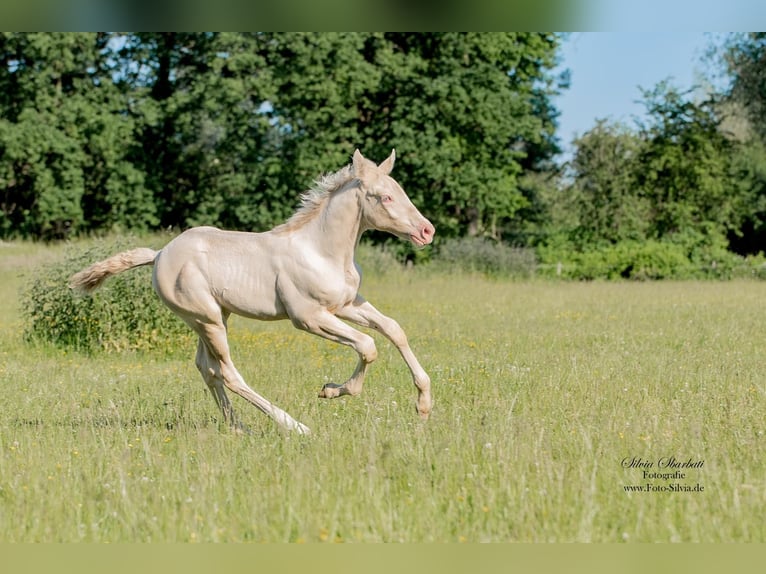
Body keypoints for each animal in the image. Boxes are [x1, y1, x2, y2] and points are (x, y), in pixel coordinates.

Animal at [69, 149, 435, 435]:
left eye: (400, 190)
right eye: (384, 197)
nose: (426, 231)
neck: (321, 251)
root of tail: (159, 255)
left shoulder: (345, 304)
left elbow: (393, 330)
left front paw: (424, 404)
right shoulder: (308, 318)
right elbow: (367, 345)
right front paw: (332, 391)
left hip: (213, 318)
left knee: (207, 368)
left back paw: (238, 427)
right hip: (208, 319)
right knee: (227, 372)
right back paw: (294, 426)